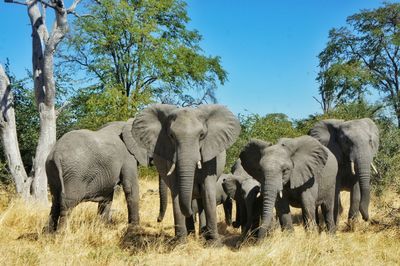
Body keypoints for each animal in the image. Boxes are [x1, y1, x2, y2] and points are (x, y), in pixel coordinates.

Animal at [131, 104, 239, 241]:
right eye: (171, 136)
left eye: (202, 135)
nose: (158, 220)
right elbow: (177, 193)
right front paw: (181, 241)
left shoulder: (210, 157)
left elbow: (208, 192)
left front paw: (214, 241)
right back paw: (192, 234)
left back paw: (202, 235)